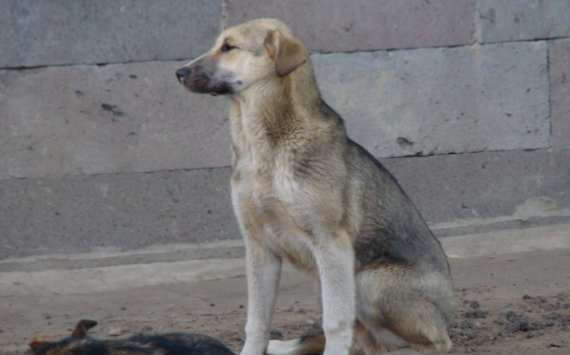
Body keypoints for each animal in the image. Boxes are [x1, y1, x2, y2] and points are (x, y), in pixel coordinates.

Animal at [175, 18, 450, 354]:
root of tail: (448, 311)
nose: (179, 73)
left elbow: (335, 323)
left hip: (366, 279)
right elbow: (257, 322)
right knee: (365, 341)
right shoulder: (259, 245)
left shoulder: (331, 243)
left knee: (434, 343)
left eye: (229, 46)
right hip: (326, 280)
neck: (265, 149)